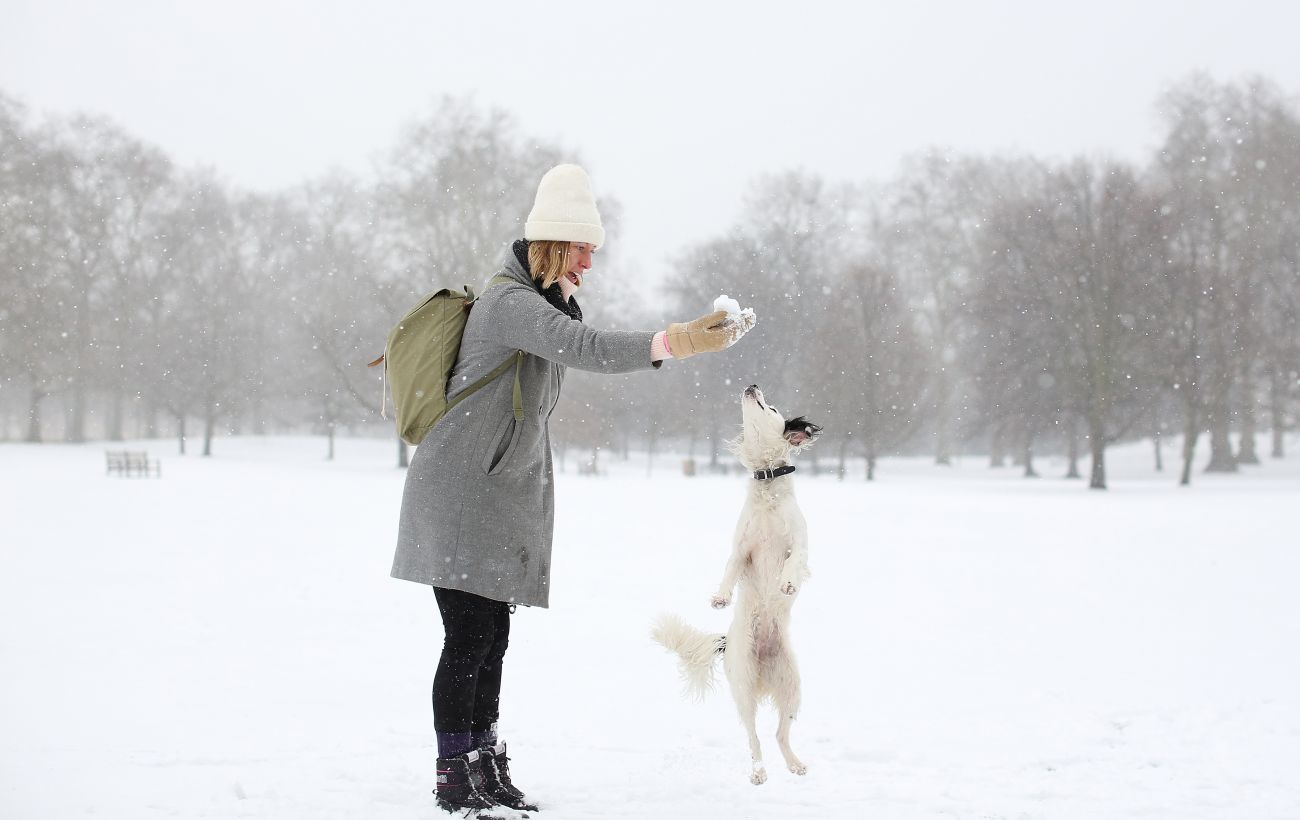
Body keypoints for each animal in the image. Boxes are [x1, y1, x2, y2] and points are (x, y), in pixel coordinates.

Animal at [650, 387, 821, 784]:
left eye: (772, 406)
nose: (752, 386)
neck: (768, 482)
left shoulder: (800, 545)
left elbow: (794, 562)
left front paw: (787, 583)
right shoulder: (742, 550)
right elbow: (728, 570)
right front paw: (720, 598)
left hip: (793, 687)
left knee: (780, 734)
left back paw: (794, 764)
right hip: (743, 687)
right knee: (755, 737)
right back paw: (759, 772)